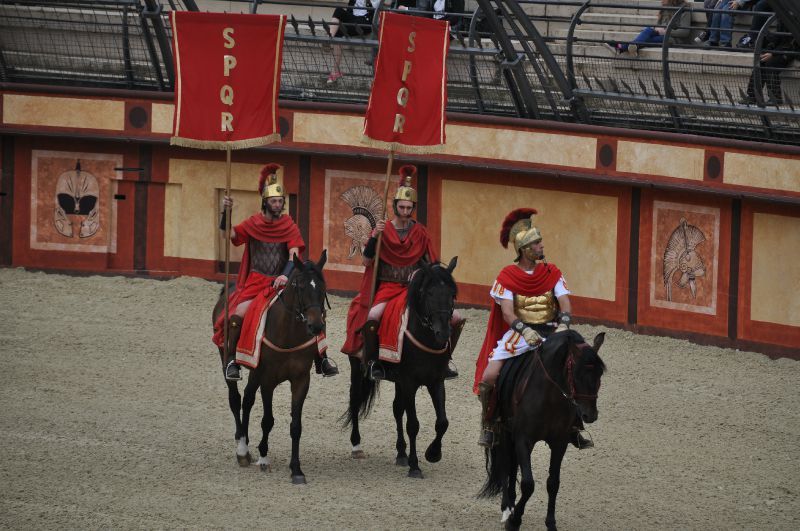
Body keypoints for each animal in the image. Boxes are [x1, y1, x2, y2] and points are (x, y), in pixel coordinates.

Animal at [211, 251, 330, 484]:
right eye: (300, 286)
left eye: (322, 288)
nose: (316, 326)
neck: (289, 334)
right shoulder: (268, 379)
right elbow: (268, 420)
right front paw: (264, 457)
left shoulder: (301, 380)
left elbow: (296, 426)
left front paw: (296, 469)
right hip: (229, 360)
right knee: (236, 399)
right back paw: (242, 448)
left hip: (255, 372)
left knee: (247, 399)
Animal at [342, 256, 456, 478]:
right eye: (430, 293)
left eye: (452, 294)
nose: (443, 333)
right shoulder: (410, 382)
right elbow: (413, 424)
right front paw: (415, 466)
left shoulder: (436, 381)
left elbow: (442, 422)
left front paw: (433, 453)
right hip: (358, 370)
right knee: (355, 401)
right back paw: (356, 446)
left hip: (398, 381)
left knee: (396, 409)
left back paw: (401, 453)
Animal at [482, 330, 608, 528]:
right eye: (577, 373)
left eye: (600, 373)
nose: (590, 415)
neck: (550, 397)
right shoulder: (523, 439)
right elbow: (528, 484)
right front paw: (514, 521)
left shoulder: (559, 442)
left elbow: (553, 483)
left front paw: (550, 523)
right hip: (504, 431)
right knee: (505, 464)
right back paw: (507, 508)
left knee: (512, 465)